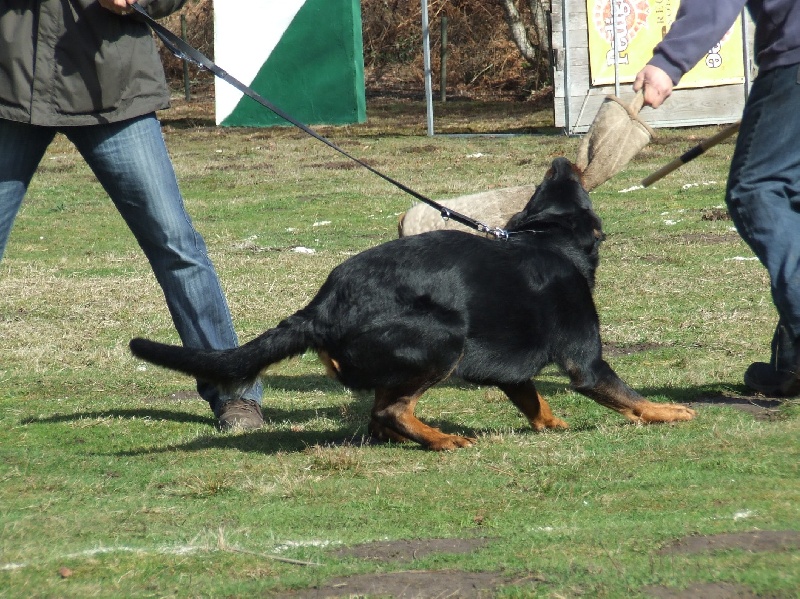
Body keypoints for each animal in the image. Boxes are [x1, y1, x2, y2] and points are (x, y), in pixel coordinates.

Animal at [130, 158, 692, 450]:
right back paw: (441, 440)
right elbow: (626, 394)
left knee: (381, 413)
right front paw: (667, 412)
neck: (546, 239)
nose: (560, 160)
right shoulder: (586, 362)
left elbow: (534, 400)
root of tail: (323, 307)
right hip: (443, 340)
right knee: (392, 408)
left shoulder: (512, 374)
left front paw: (552, 425)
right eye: (565, 184)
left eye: (544, 185)